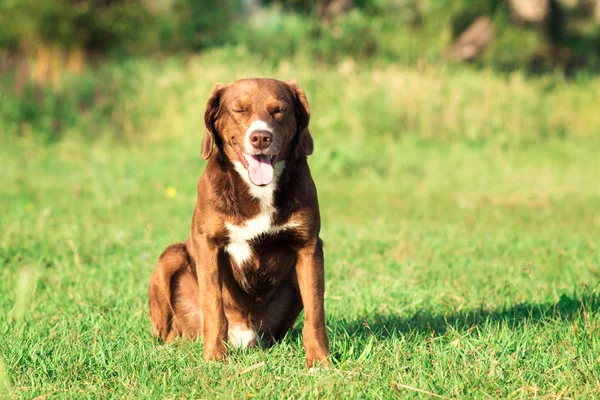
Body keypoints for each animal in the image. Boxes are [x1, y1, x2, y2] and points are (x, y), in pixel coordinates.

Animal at [148, 78, 330, 368]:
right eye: (239, 110)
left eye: (279, 110)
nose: (261, 137)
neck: (257, 190)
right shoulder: (207, 245)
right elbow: (214, 307)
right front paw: (214, 359)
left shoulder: (309, 246)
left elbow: (315, 310)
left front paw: (320, 362)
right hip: (170, 257)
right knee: (168, 331)